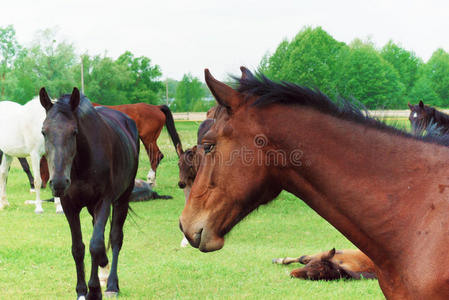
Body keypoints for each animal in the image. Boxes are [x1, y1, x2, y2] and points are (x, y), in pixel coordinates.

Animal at [39, 88, 139, 298]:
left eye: (74, 131)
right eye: (44, 132)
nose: (58, 182)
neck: (82, 164)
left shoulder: (104, 202)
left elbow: (96, 245)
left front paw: (94, 290)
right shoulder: (70, 207)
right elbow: (79, 248)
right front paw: (82, 291)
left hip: (122, 199)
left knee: (115, 238)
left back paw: (111, 284)